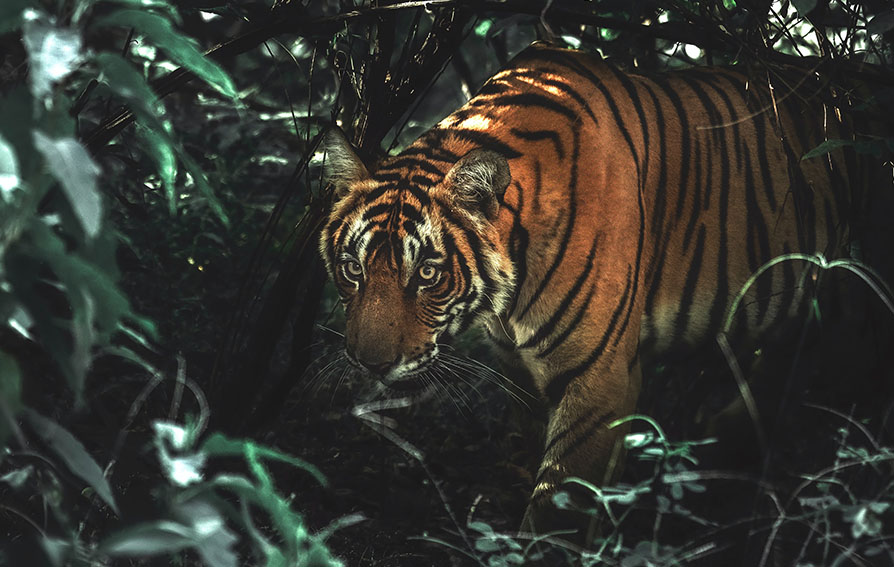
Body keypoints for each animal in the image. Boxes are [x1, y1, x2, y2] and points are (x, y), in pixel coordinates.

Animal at [318, 42, 892, 536]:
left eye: (427, 274)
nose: (370, 363)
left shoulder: (598, 379)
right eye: (352, 268)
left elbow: (559, 505)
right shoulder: (520, 369)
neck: (506, 297)